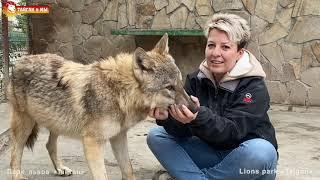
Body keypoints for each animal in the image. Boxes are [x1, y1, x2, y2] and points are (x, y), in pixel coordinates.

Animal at [8, 34, 198, 180]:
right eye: (169, 87)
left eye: (180, 83)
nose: (195, 109)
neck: (119, 92)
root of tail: (22, 59)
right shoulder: (93, 143)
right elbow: (102, 175)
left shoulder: (119, 137)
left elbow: (128, 170)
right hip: (25, 125)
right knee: (15, 154)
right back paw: (18, 176)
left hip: (57, 122)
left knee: (49, 145)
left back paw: (61, 168)